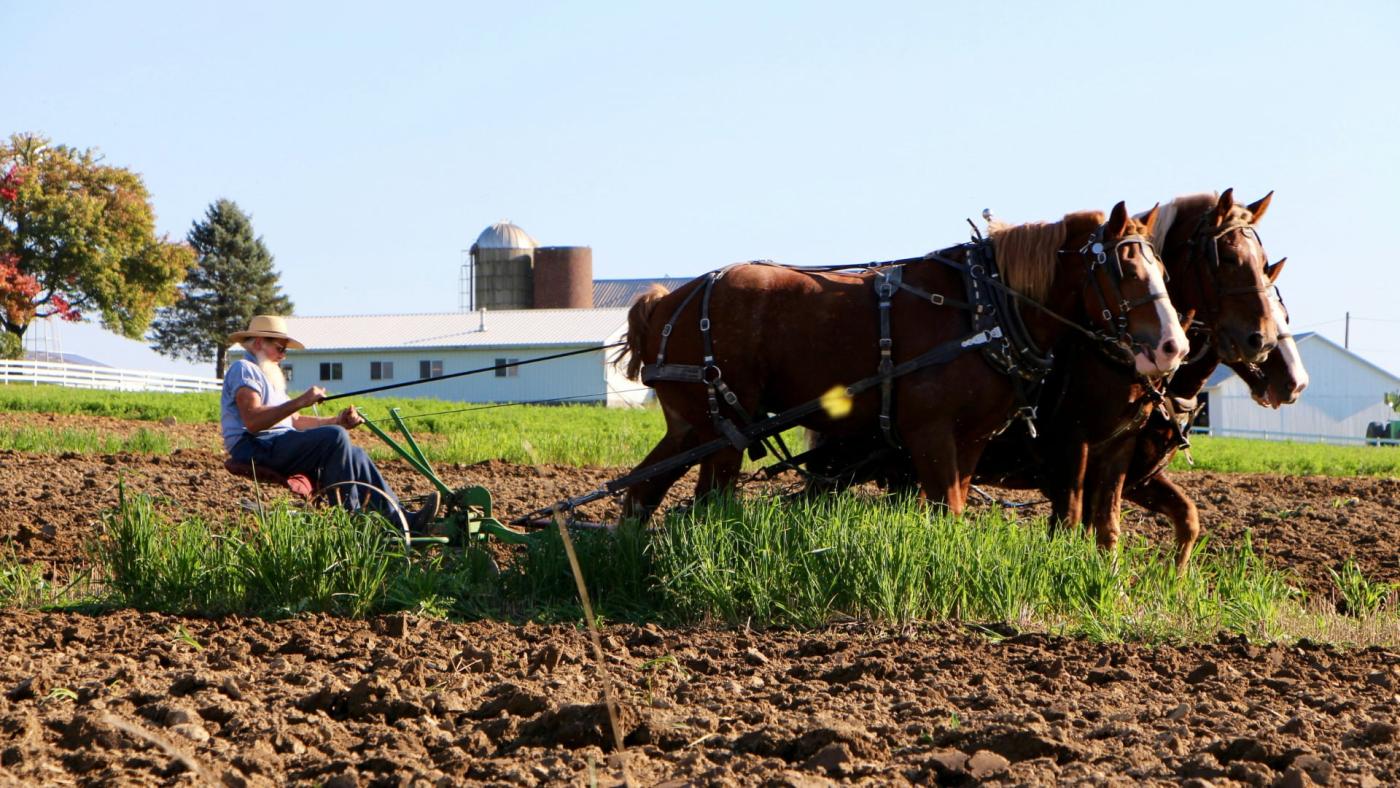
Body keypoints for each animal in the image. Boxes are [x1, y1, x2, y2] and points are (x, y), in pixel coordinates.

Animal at [617, 202, 1188, 522]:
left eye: (1162, 268)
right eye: (1123, 269)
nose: (1173, 347)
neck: (982, 307)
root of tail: (665, 303)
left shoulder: (970, 439)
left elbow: (953, 507)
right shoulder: (930, 432)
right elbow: (946, 511)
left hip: (692, 427)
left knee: (644, 488)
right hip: (718, 429)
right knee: (696, 498)